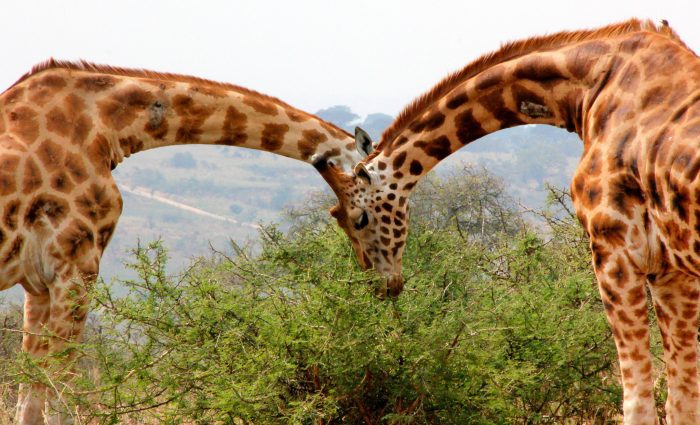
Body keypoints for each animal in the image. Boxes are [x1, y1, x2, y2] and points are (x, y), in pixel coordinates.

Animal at [0, 59, 372, 424]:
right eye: (357, 216)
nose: (371, 273)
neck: (107, 128)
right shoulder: (76, 266)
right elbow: (57, 395)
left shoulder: (38, 285)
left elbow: (30, 396)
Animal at [320, 19, 700, 424]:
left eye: (358, 218)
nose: (380, 287)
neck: (586, 90)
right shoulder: (671, 271)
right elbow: (681, 402)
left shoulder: (615, 252)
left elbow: (637, 403)